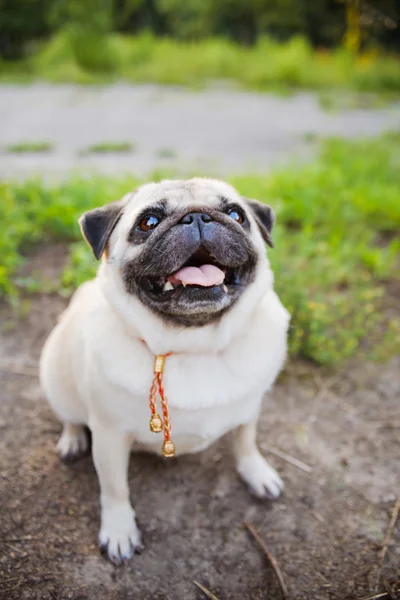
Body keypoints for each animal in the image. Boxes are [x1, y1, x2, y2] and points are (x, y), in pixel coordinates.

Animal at [40, 177, 290, 564]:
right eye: (149, 222)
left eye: (236, 214)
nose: (198, 216)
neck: (195, 345)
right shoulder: (110, 436)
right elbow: (114, 489)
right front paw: (119, 531)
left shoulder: (250, 409)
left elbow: (246, 442)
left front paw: (257, 472)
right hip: (56, 378)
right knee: (70, 417)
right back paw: (72, 440)